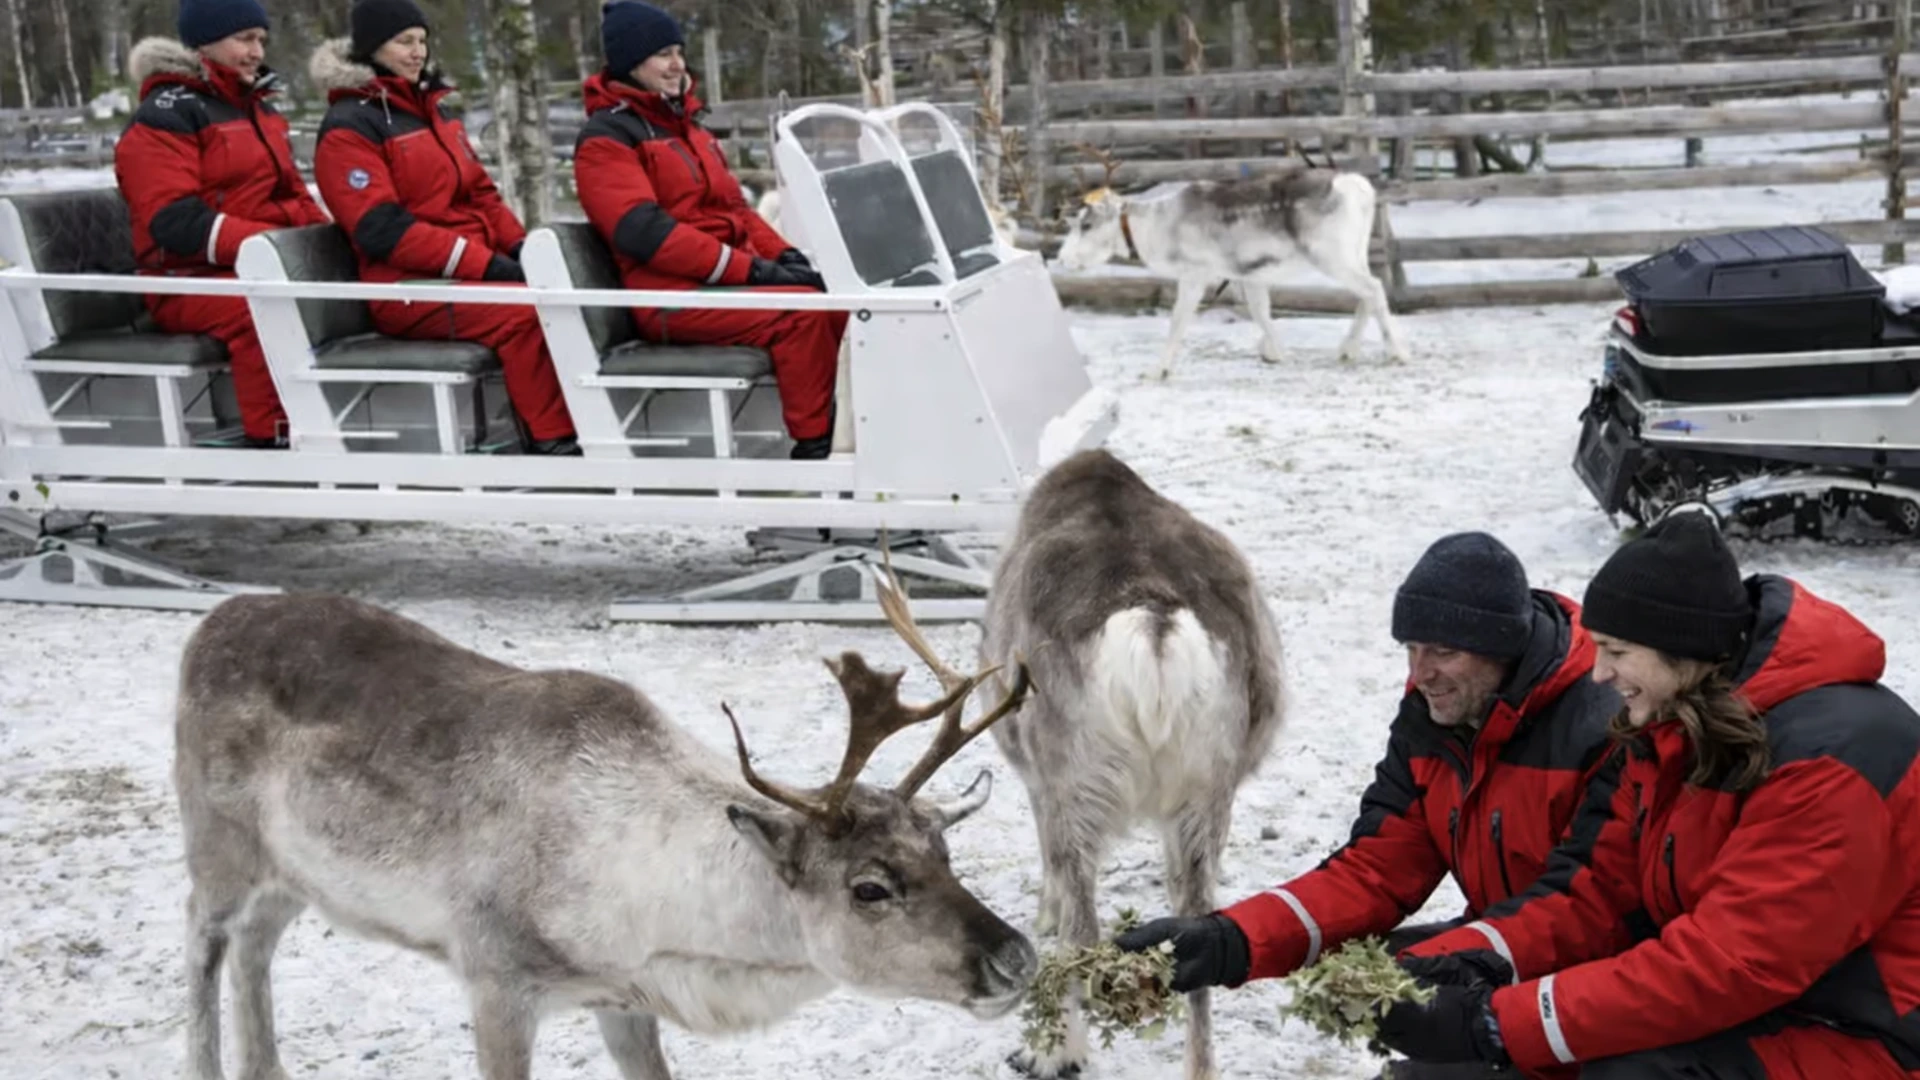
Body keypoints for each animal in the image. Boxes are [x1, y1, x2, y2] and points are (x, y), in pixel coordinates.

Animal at [171, 584, 1037, 1080]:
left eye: (946, 854)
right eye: (869, 887)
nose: (1016, 957)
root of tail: (209, 624)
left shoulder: (622, 998)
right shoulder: (495, 978)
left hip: (292, 876)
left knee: (256, 946)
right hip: (215, 846)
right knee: (205, 943)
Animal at [982, 448, 1288, 1080]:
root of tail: (1153, 623)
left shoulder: (1037, 780)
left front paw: (1042, 915)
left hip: (1076, 782)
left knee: (1082, 930)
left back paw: (1056, 1053)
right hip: (1207, 790)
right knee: (1199, 937)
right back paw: (1200, 1070)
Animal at [1053, 144, 1408, 378]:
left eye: (1086, 225)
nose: (1061, 258)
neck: (1154, 229)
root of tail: (1363, 189)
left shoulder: (1195, 273)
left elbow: (1178, 321)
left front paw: (1158, 370)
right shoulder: (1248, 275)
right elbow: (1261, 313)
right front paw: (1274, 353)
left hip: (1330, 254)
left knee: (1373, 288)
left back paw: (1397, 352)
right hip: (1354, 251)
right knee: (1370, 290)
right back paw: (1347, 349)